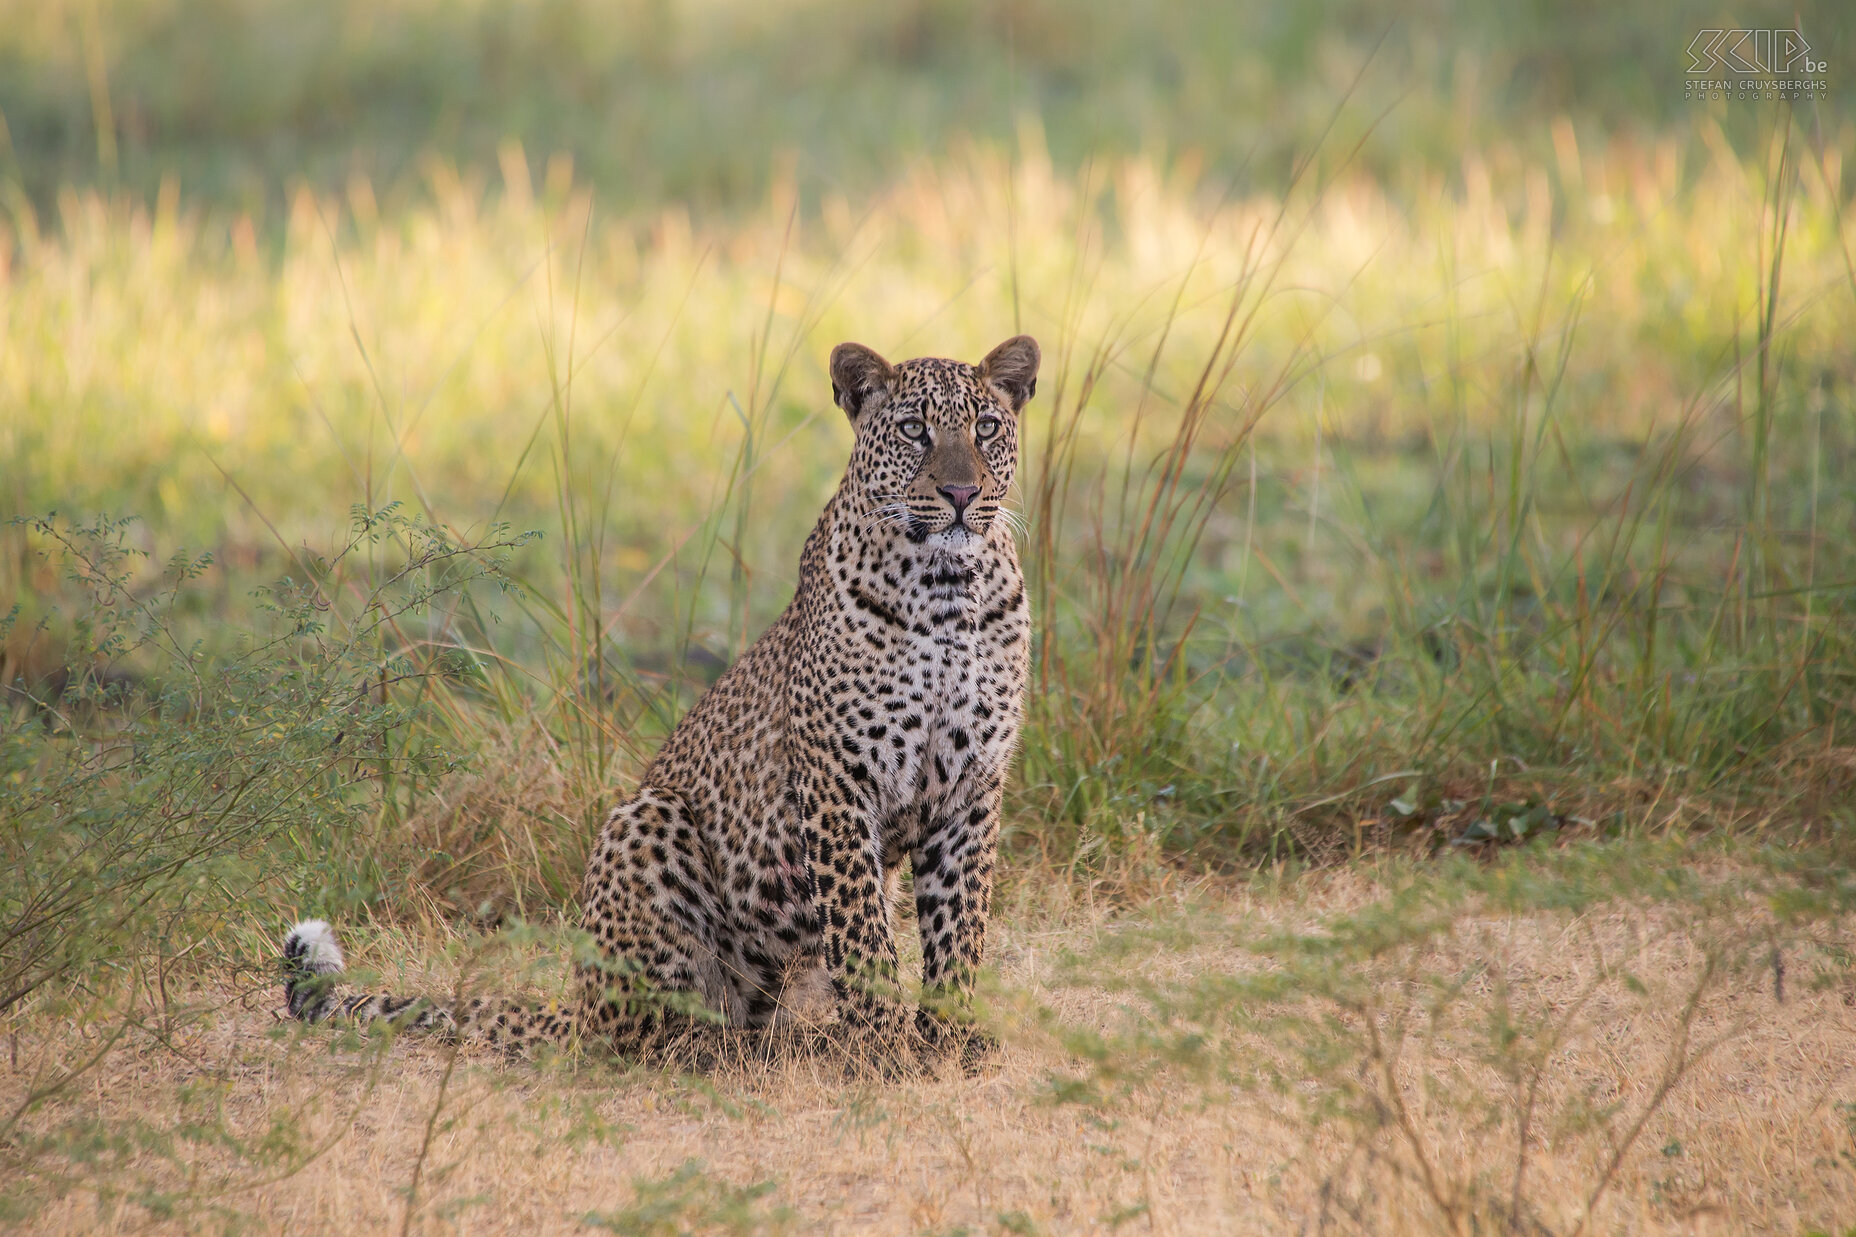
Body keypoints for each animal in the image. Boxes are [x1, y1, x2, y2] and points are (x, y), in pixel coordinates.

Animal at [289, 330, 1046, 1069]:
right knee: (653, 1032)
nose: (959, 491)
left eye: (985, 428)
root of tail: (578, 1005)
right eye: (915, 429)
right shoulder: (839, 782)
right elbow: (864, 939)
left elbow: (959, 927)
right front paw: (889, 1050)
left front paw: (951, 1039)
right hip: (646, 820)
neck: (947, 590)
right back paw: (738, 1048)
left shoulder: (973, 786)